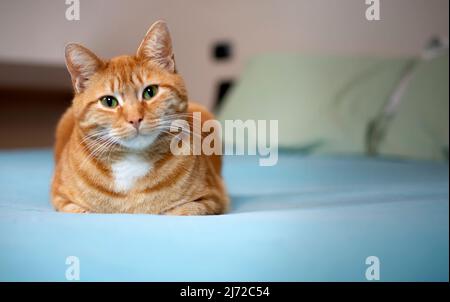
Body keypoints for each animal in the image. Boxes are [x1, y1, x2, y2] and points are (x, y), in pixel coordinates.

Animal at [51, 20, 229, 215]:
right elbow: (84, 211)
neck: (132, 162)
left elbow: (183, 211)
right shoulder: (62, 199)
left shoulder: (212, 198)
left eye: (150, 92)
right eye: (109, 101)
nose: (135, 119)